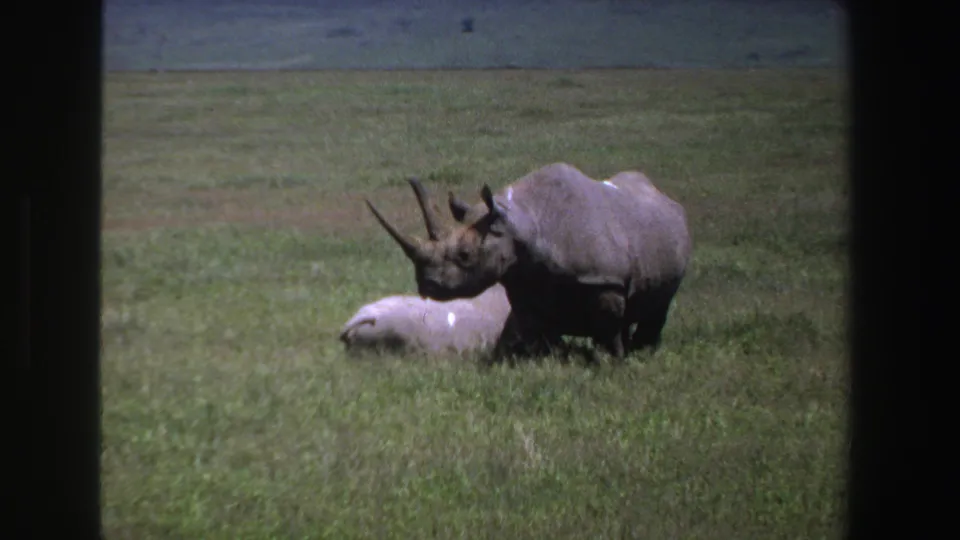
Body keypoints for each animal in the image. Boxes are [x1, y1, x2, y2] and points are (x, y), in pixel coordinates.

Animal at [365, 162, 692, 360]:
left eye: (465, 255)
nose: (427, 286)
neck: (520, 224)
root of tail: (661, 194)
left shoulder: (604, 279)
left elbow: (608, 329)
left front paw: (612, 363)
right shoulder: (524, 281)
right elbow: (524, 330)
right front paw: (522, 362)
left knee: (658, 305)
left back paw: (643, 352)